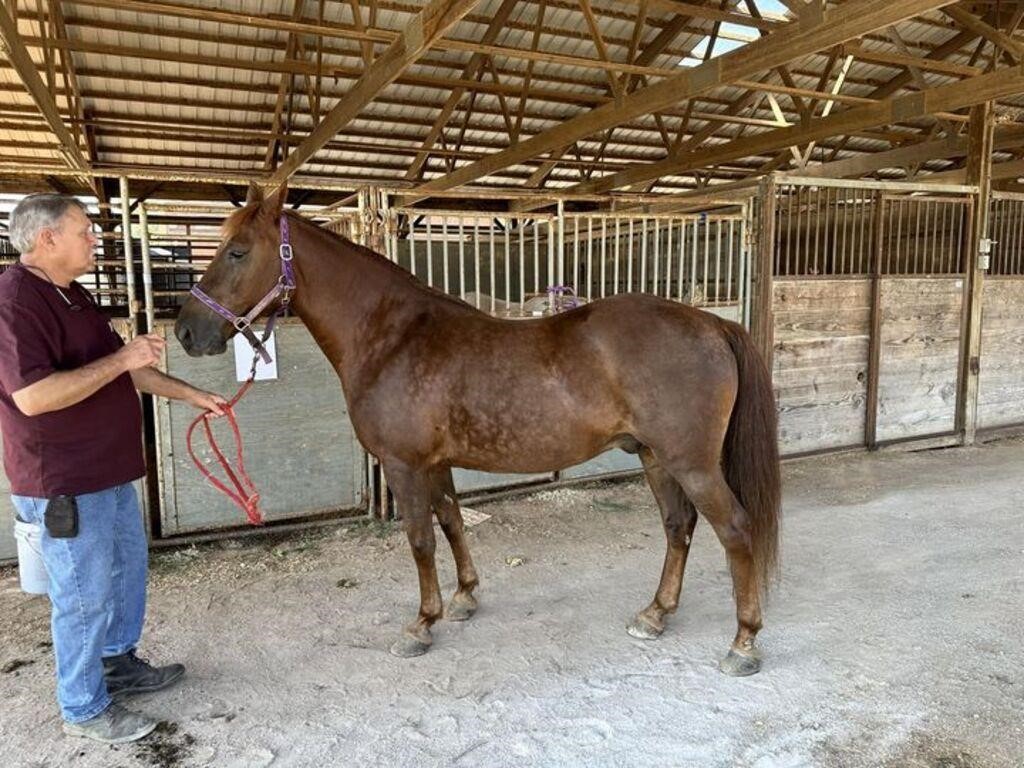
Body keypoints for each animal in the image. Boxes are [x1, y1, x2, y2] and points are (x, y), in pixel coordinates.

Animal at [176, 188, 778, 679]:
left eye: (236, 251)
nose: (185, 331)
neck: (393, 338)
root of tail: (712, 322)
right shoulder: (435, 464)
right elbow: (452, 523)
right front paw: (465, 598)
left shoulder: (403, 466)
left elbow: (420, 540)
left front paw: (422, 624)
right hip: (655, 457)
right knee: (679, 527)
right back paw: (654, 614)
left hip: (691, 463)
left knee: (735, 530)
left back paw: (744, 644)